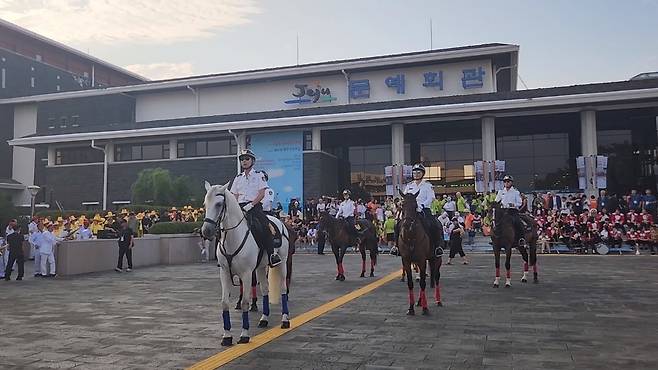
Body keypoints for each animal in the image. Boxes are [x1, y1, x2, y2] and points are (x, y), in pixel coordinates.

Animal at [200, 181, 290, 346]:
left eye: (219, 204)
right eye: (205, 204)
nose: (206, 231)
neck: (232, 237)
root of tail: (278, 221)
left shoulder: (247, 274)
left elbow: (245, 303)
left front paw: (244, 334)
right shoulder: (224, 273)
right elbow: (224, 302)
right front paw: (227, 336)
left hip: (282, 263)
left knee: (283, 288)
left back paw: (285, 320)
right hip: (261, 267)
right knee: (265, 290)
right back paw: (264, 319)